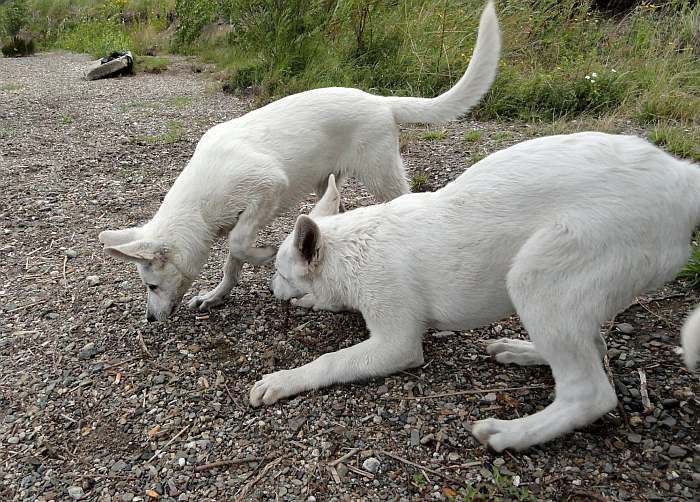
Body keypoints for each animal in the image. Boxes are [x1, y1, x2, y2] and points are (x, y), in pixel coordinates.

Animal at [98, 1, 500, 324]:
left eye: (151, 284)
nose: (150, 320)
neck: (200, 202)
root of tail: (379, 100)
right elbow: (231, 264)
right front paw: (216, 296)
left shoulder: (267, 189)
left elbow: (239, 246)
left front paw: (267, 254)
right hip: (328, 181)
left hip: (381, 176)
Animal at [254, 132, 700, 452]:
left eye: (278, 270)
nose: (272, 288)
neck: (354, 246)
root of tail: (681, 178)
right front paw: (314, 300)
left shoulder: (396, 345)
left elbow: (329, 361)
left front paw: (284, 379)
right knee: (594, 345)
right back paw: (523, 351)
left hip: (535, 276)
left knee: (589, 392)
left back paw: (513, 434)